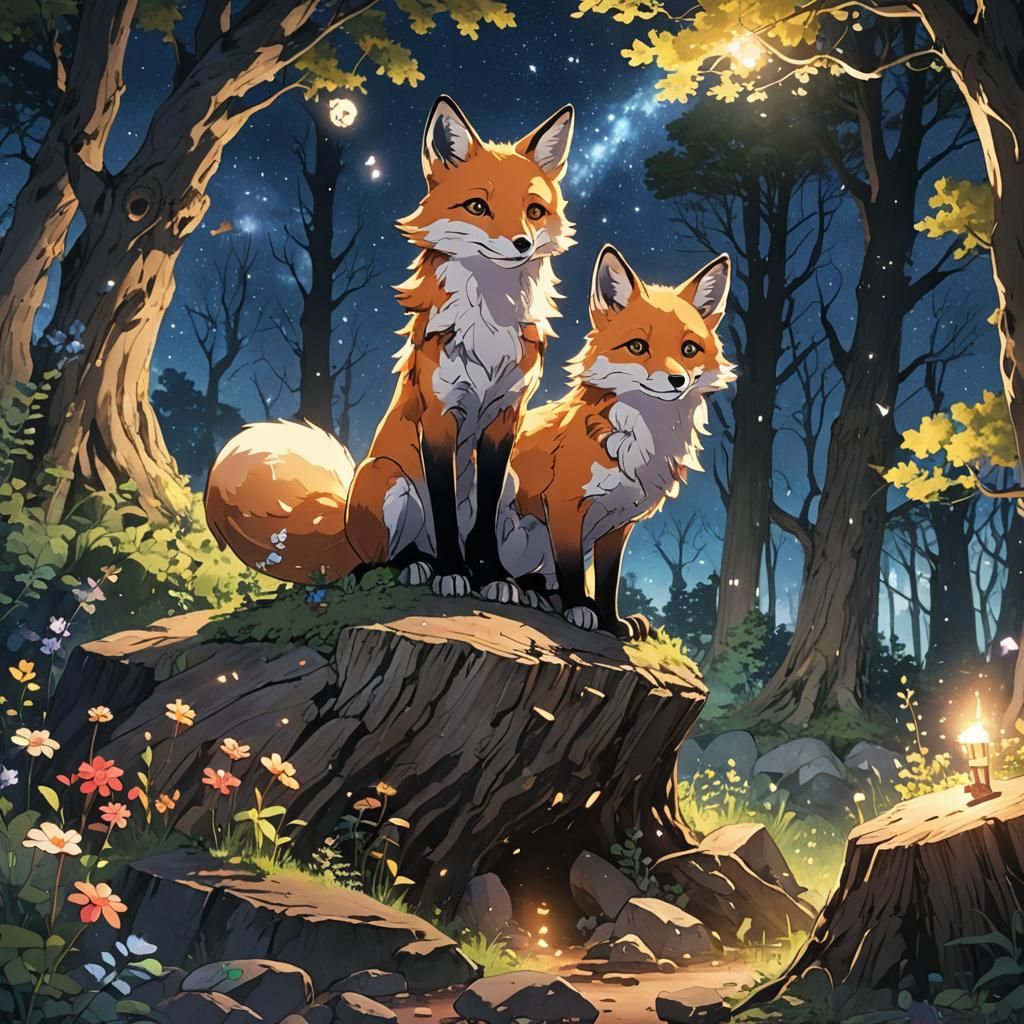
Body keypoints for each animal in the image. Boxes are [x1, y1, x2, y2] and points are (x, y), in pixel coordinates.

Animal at [205, 96, 575, 596]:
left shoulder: (505, 420)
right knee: (372, 562)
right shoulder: (438, 418)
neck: (488, 329)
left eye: (534, 211)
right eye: (477, 206)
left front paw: (493, 576)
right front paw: (452, 572)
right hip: (388, 481)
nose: (521, 243)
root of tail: (343, 527)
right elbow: (442, 511)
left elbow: (482, 524)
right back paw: (417, 565)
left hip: (514, 497)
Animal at [496, 244, 736, 639]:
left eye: (689, 349)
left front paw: (611, 623)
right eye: (637, 346)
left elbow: (608, 582)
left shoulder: (619, 524)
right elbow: (572, 570)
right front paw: (578, 609)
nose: (677, 381)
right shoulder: (563, 505)